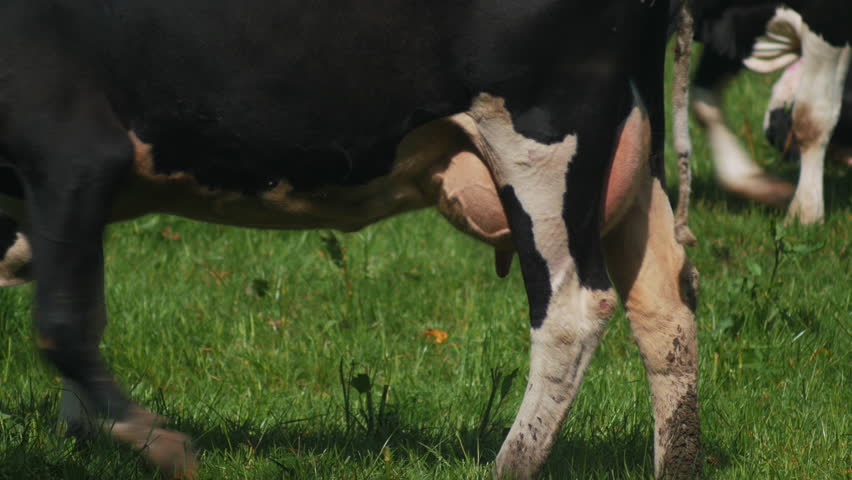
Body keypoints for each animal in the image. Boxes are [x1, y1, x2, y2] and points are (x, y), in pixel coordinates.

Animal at [0, 1, 701, 478]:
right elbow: (84, 314)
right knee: (665, 304)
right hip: (632, 160)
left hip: (543, 139)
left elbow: (62, 325)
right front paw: (88, 440)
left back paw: (511, 464)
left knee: (573, 308)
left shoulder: (73, 151)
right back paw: (676, 464)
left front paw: (156, 443)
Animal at [686, 0, 851, 223]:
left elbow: (810, 117)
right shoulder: (734, 30)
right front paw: (757, 183)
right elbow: (703, 103)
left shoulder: (829, 18)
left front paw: (805, 212)